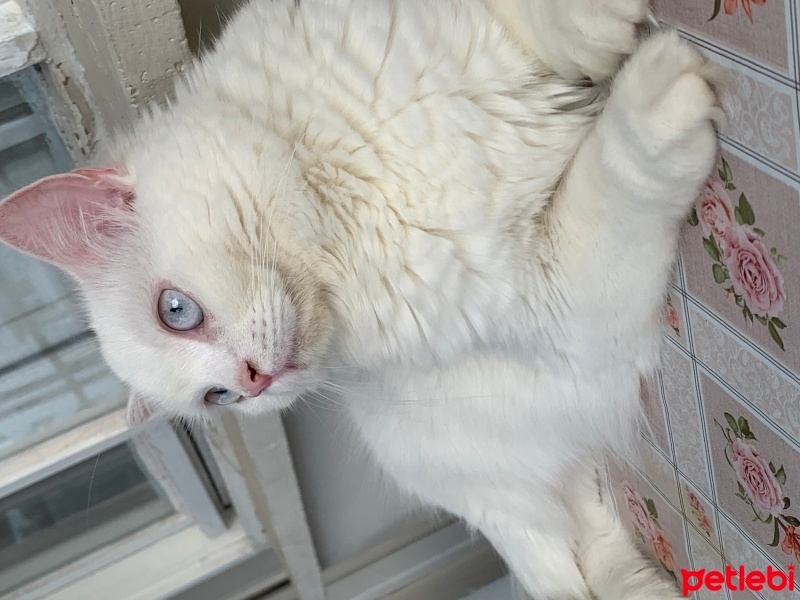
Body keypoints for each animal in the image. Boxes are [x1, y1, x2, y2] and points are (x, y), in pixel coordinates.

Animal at [0, 2, 720, 596]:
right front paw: (656, 92)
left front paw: (587, 27)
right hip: (535, 454)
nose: (255, 383)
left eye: (175, 311)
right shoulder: (558, 300)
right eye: (218, 399)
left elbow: (526, 19)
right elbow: (617, 175)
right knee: (578, 553)